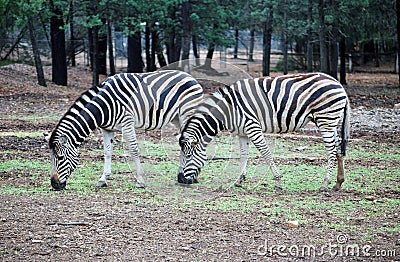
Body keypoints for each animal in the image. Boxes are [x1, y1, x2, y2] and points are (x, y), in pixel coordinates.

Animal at [47, 70, 203, 190]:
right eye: (51, 158)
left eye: (60, 158)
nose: (54, 184)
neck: (104, 105)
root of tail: (191, 77)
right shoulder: (106, 129)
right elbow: (107, 152)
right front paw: (103, 179)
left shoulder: (127, 123)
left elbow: (134, 150)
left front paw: (140, 181)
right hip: (176, 118)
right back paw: (183, 176)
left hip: (187, 114)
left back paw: (190, 177)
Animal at [178, 72, 350, 191]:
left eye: (188, 155)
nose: (180, 180)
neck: (228, 110)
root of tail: (337, 83)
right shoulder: (242, 132)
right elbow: (244, 155)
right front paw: (239, 180)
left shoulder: (252, 127)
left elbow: (266, 153)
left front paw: (278, 181)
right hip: (331, 122)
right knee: (338, 149)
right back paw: (338, 183)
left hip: (325, 119)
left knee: (331, 151)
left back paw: (325, 184)